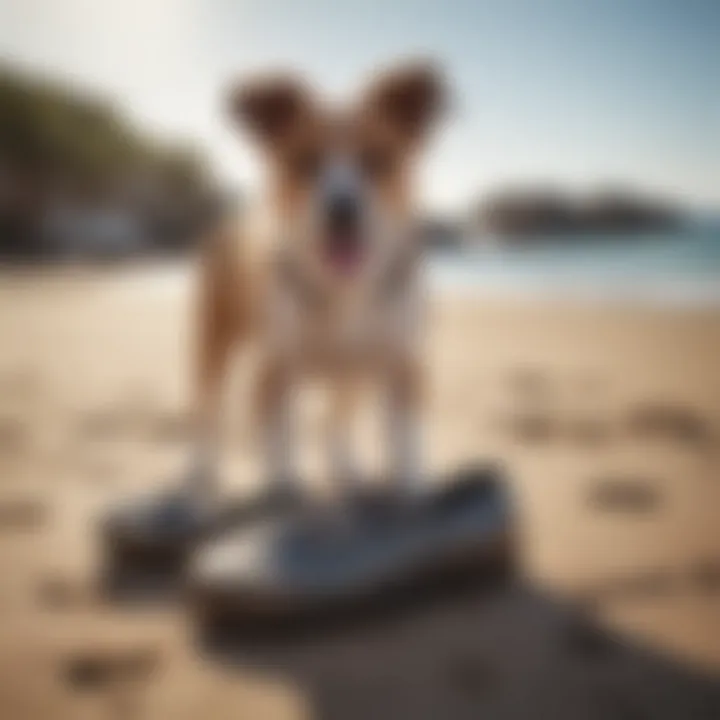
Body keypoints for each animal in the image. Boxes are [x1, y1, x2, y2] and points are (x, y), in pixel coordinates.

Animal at [183, 62, 448, 510]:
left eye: (376, 159)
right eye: (306, 161)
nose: (342, 208)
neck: (344, 289)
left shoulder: (402, 361)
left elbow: (407, 438)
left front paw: (412, 492)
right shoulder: (275, 368)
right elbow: (279, 444)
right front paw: (285, 492)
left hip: (354, 377)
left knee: (335, 422)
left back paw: (346, 469)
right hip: (212, 343)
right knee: (207, 415)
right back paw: (201, 473)